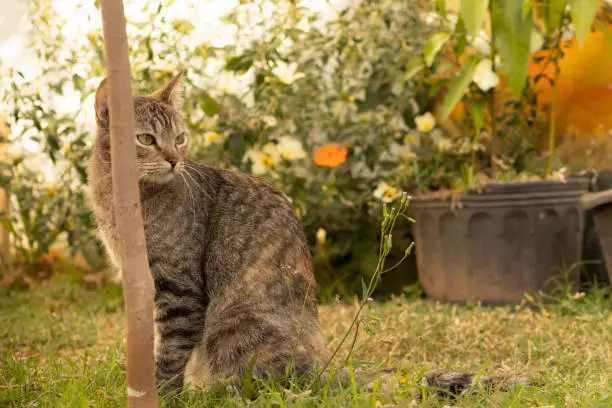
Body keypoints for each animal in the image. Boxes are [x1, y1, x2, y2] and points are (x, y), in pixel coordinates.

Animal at [87, 72, 536, 396]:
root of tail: (326, 367)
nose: (175, 159)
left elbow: (170, 353)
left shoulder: (179, 288)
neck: (122, 201)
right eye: (147, 139)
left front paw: (162, 394)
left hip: (234, 327)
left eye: (179, 138)